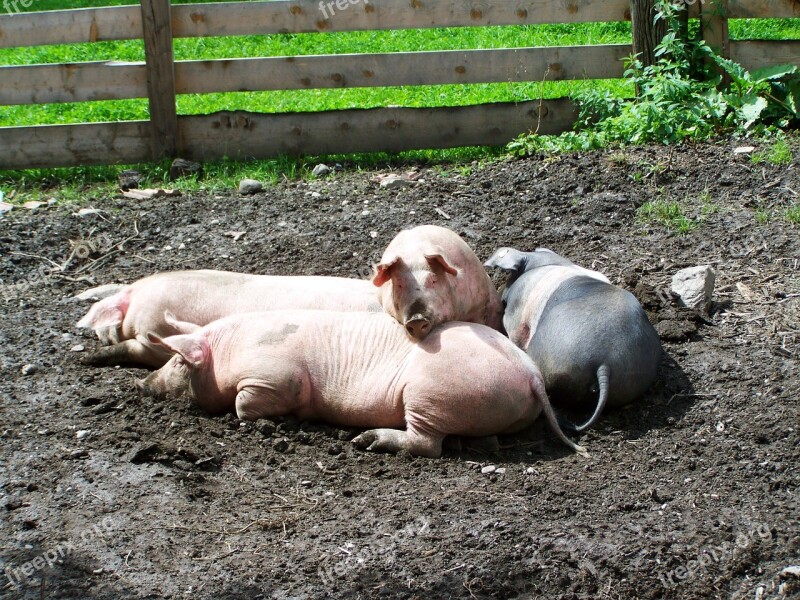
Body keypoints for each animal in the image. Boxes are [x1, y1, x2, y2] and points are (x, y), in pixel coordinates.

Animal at [134, 310, 588, 460]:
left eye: (177, 361)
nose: (142, 383)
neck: (228, 350)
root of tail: (530, 371)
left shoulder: (273, 377)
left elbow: (246, 408)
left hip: (429, 393)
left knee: (427, 444)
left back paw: (366, 442)